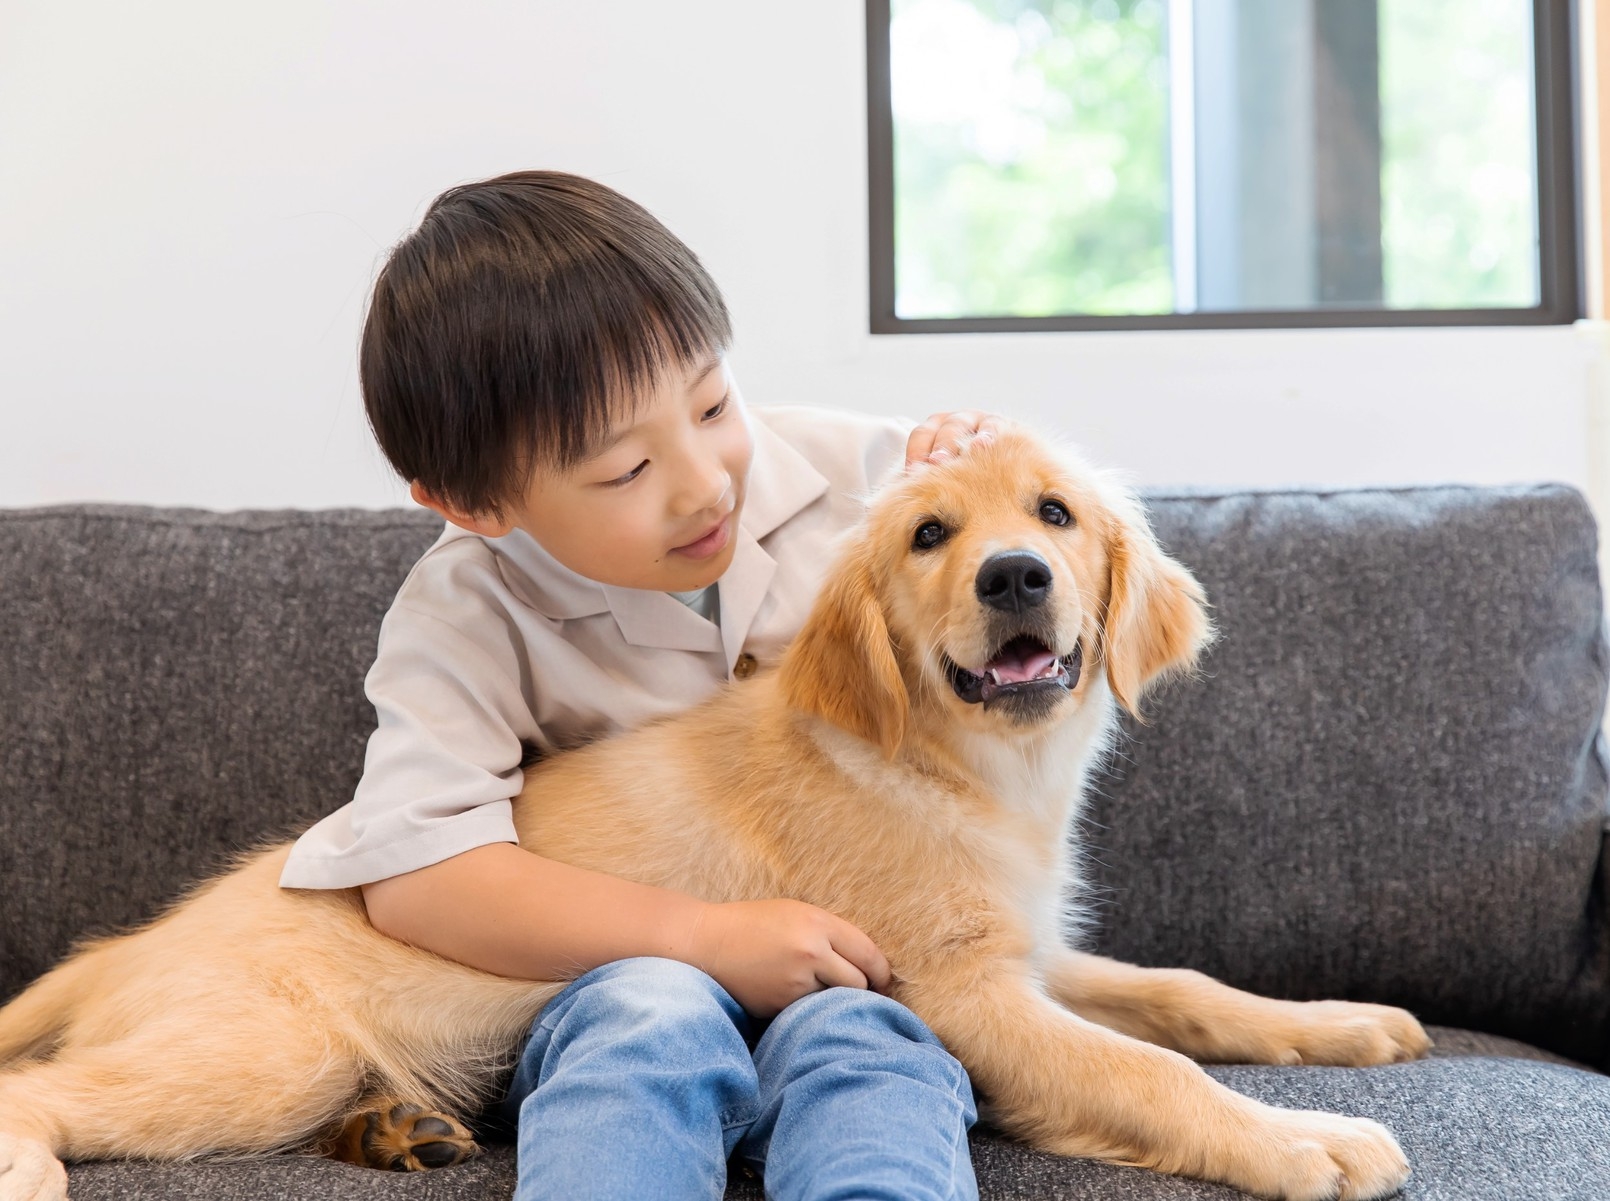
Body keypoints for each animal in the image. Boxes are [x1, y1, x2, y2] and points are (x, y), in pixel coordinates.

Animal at [0, 425, 1429, 1197]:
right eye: (927, 537)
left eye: (1054, 514)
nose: (1015, 576)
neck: (954, 763)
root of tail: (124, 947)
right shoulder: (961, 992)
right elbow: (1148, 1068)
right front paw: (1299, 1141)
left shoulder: (1025, 950)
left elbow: (1182, 990)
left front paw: (1334, 1024)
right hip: (258, 1054)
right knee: (42, 1088)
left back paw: (396, 1126)